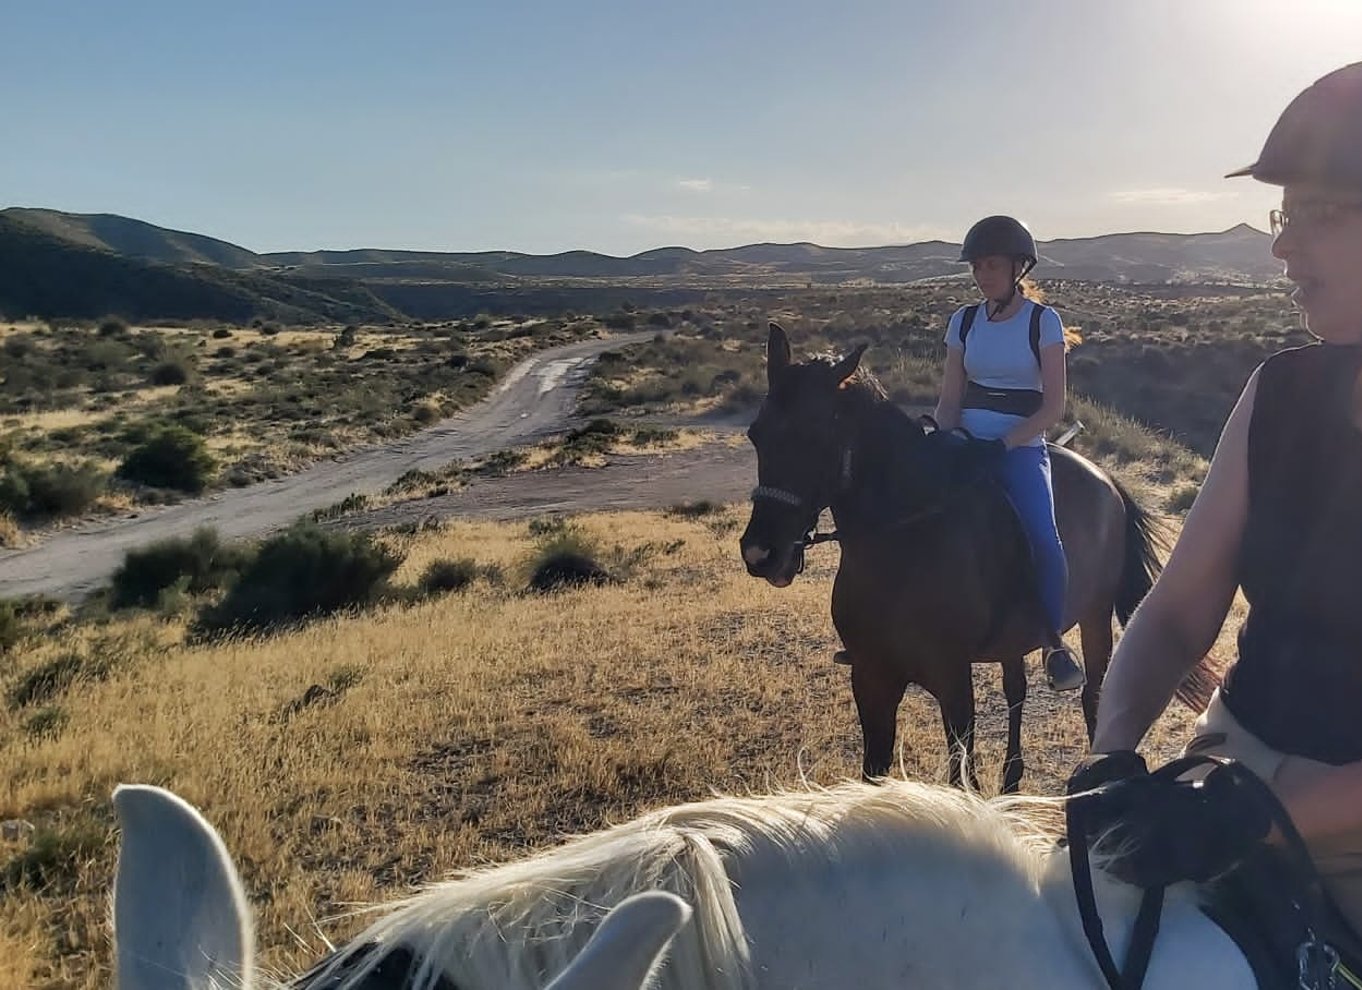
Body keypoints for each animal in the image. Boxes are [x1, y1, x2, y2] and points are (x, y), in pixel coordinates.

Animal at [740, 322, 1187, 789]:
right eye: (756, 435)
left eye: (816, 436)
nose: (760, 553)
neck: (904, 544)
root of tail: (1106, 478)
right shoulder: (870, 678)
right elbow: (874, 774)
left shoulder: (953, 681)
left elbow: (960, 774)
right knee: (1016, 690)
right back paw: (1011, 778)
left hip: (1095, 617)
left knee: (1092, 695)